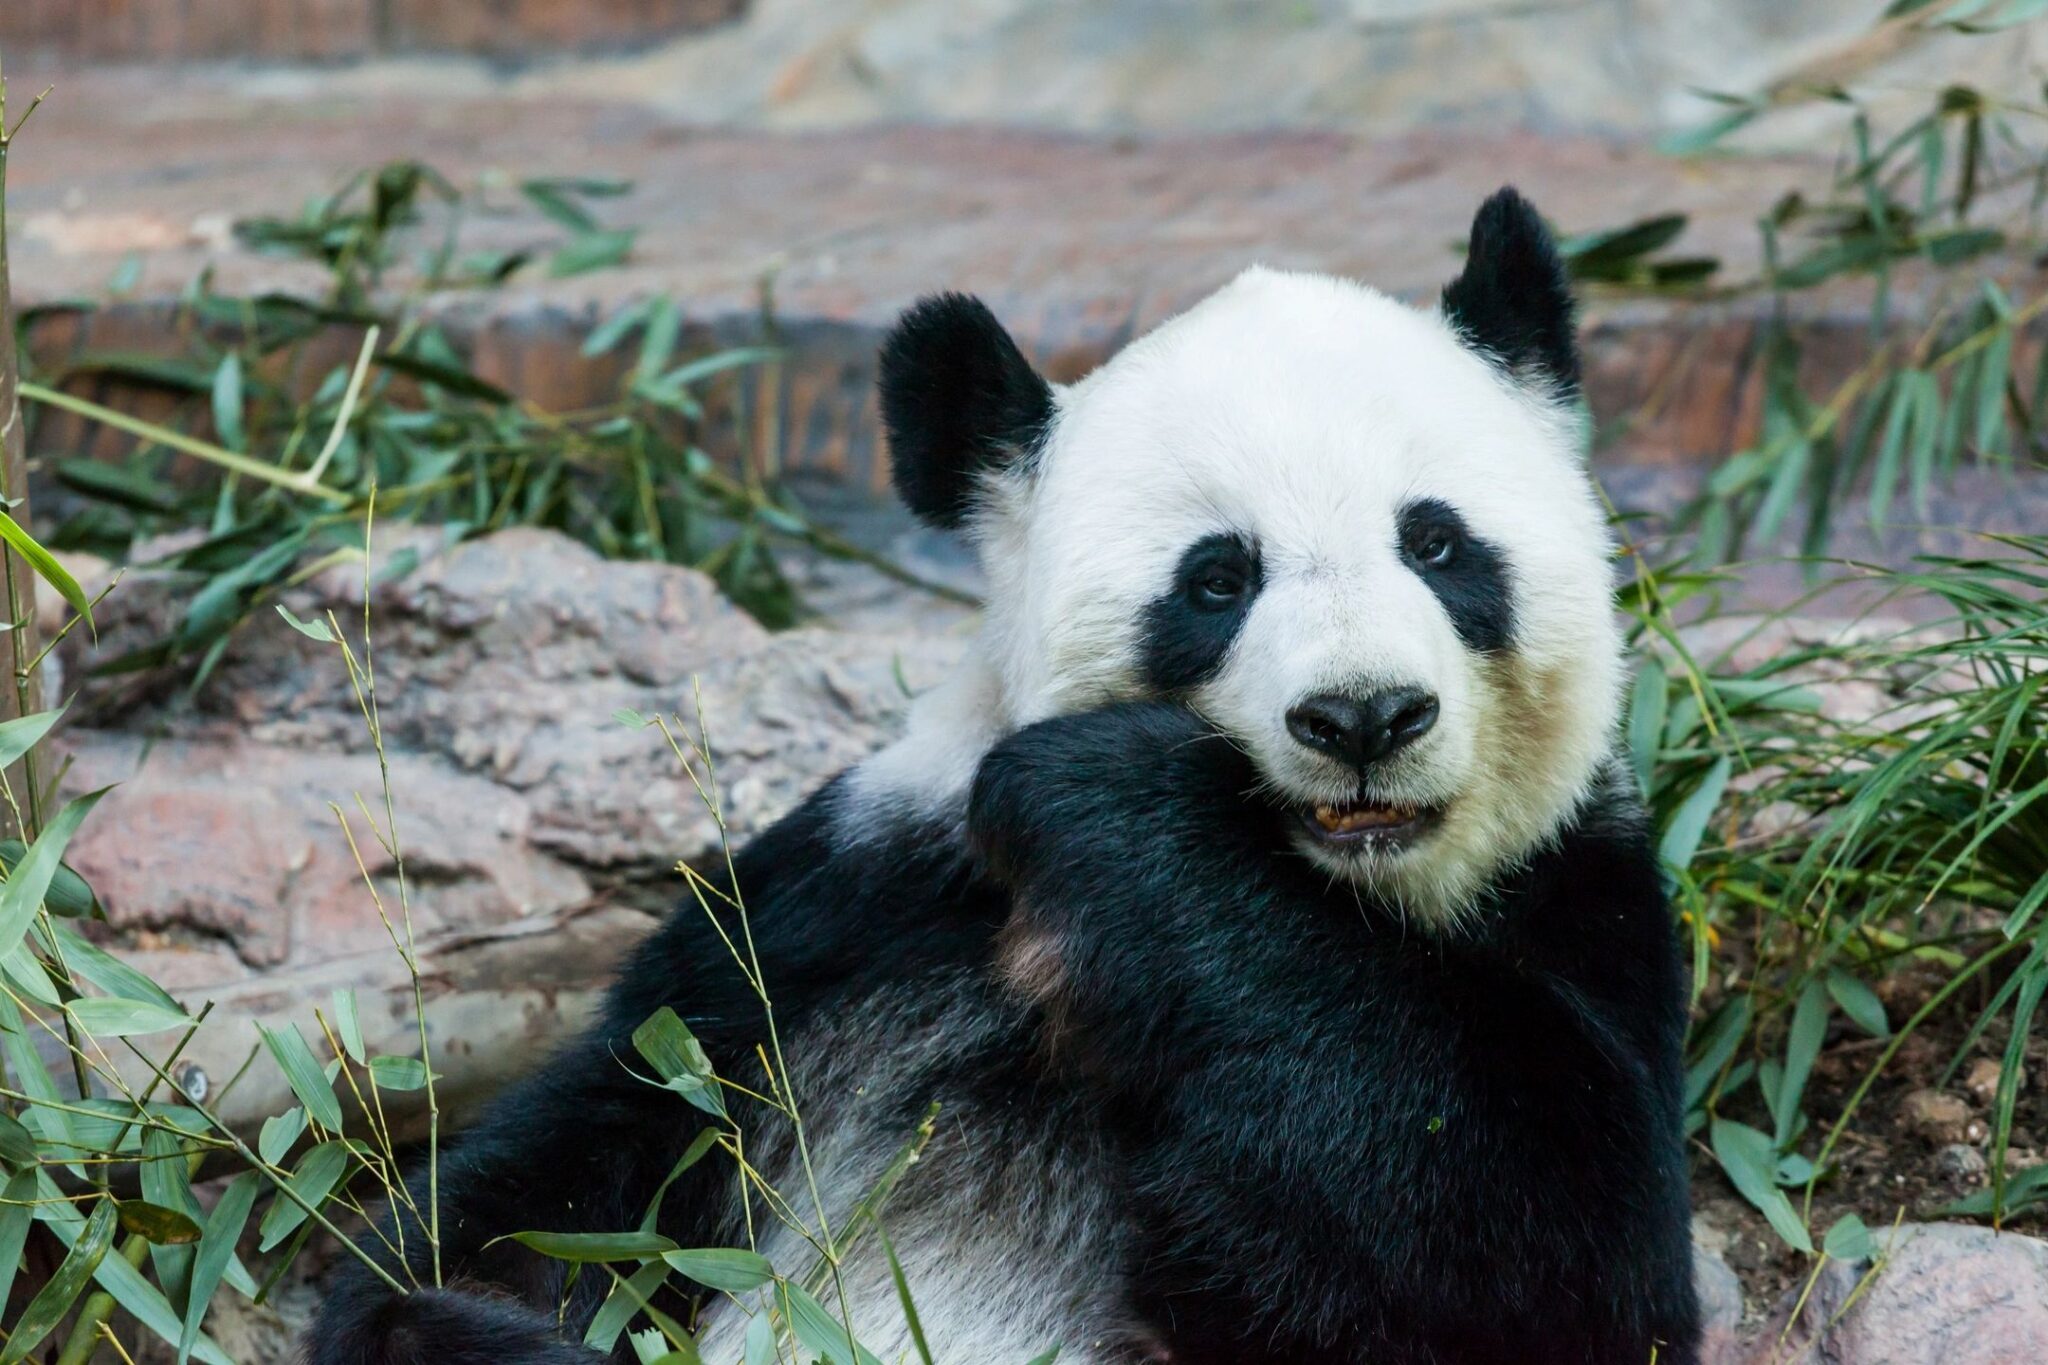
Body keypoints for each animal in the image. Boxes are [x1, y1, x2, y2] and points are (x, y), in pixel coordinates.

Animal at [303, 189, 1695, 1365]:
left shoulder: (1578, 902)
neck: (1338, 894)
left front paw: (1126, 810)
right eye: (1215, 579)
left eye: (1437, 543)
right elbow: (536, 1203)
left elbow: (1556, 1259)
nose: (1362, 715)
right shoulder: (830, 927)